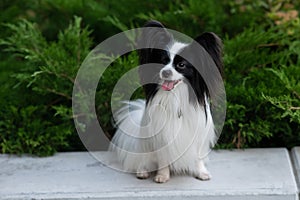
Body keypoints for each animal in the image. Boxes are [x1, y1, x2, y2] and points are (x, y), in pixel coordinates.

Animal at [109, 20, 223, 183]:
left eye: (181, 65)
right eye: (163, 62)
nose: (165, 72)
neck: (176, 96)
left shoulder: (197, 135)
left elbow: (198, 157)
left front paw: (201, 172)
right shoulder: (162, 137)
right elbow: (164, 159)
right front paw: (162, 175)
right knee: (141, 161)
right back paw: (142, 171)